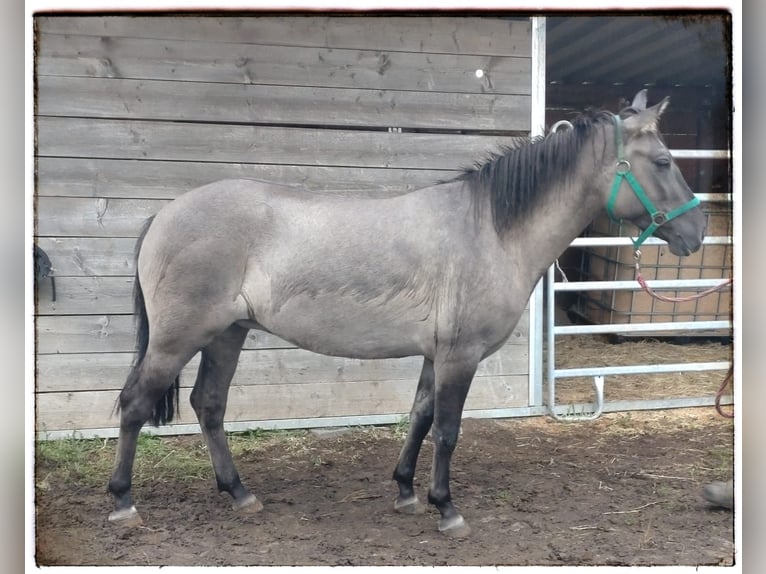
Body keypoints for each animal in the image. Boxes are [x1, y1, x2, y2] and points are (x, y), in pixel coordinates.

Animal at [107, 89, 706, 537]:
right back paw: (123, 503)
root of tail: (165, 214)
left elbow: (419, 416)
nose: (696, 234)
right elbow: (447, 429)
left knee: (209, 405)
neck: (490, 230)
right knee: (135, 404)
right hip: (179, 338)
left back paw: (238, 493)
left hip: (227, 334)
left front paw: (405, 492)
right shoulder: (460, 356)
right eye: (663, 162)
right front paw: (447, 508)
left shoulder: (435, 354)